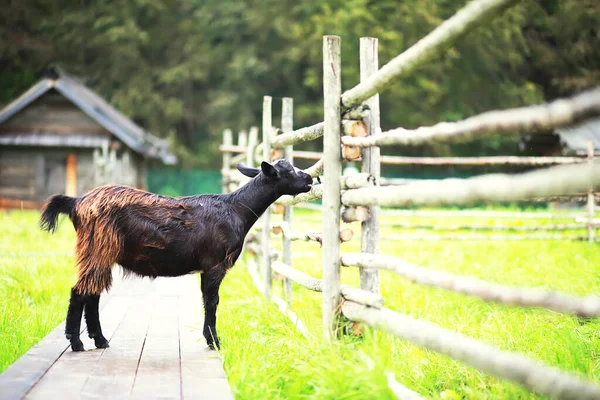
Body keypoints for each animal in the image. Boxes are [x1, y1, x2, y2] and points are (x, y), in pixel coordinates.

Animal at [41, 161, 314, 352]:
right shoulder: (214, 264)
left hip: (99, 251)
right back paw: (77, 343)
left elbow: (208, 301)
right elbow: (212, 301)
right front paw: (214, 342)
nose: (311, 178)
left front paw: (211, 339)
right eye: (289, 170)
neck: (235, 209)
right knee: (80, 291)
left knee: (92, 293)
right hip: (97, 248)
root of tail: (77, 202)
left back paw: (99, 340)